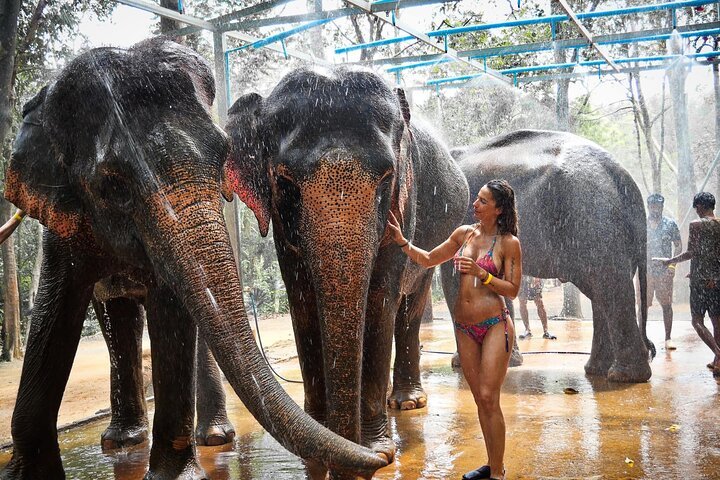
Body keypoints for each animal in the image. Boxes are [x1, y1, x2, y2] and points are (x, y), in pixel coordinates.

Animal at [0, 39, 386, 479]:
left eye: (223, 156)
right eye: (112, 185)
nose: (382, 460)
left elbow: (172, 313)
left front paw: (175, 475)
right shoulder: (61, 220)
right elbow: (53, 312)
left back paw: (212, 439)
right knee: (119, 314)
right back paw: (122, 442)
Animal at [224, 65, 469, 466]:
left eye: (387, 178)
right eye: (284, 181)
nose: (349, 443)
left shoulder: (406, 203)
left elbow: (381, 300)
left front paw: (376, 450)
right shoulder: (281, 229)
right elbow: (301, 303)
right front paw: (318, 443)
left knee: (410, 306)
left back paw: (406, 403)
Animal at [440, 129, 654, 383]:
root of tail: (625, 177)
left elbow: (454, 277)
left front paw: (464, 364)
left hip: (592, 217)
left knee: (608, 285)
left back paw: (624, 377)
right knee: (601, 290)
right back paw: (599, 371)